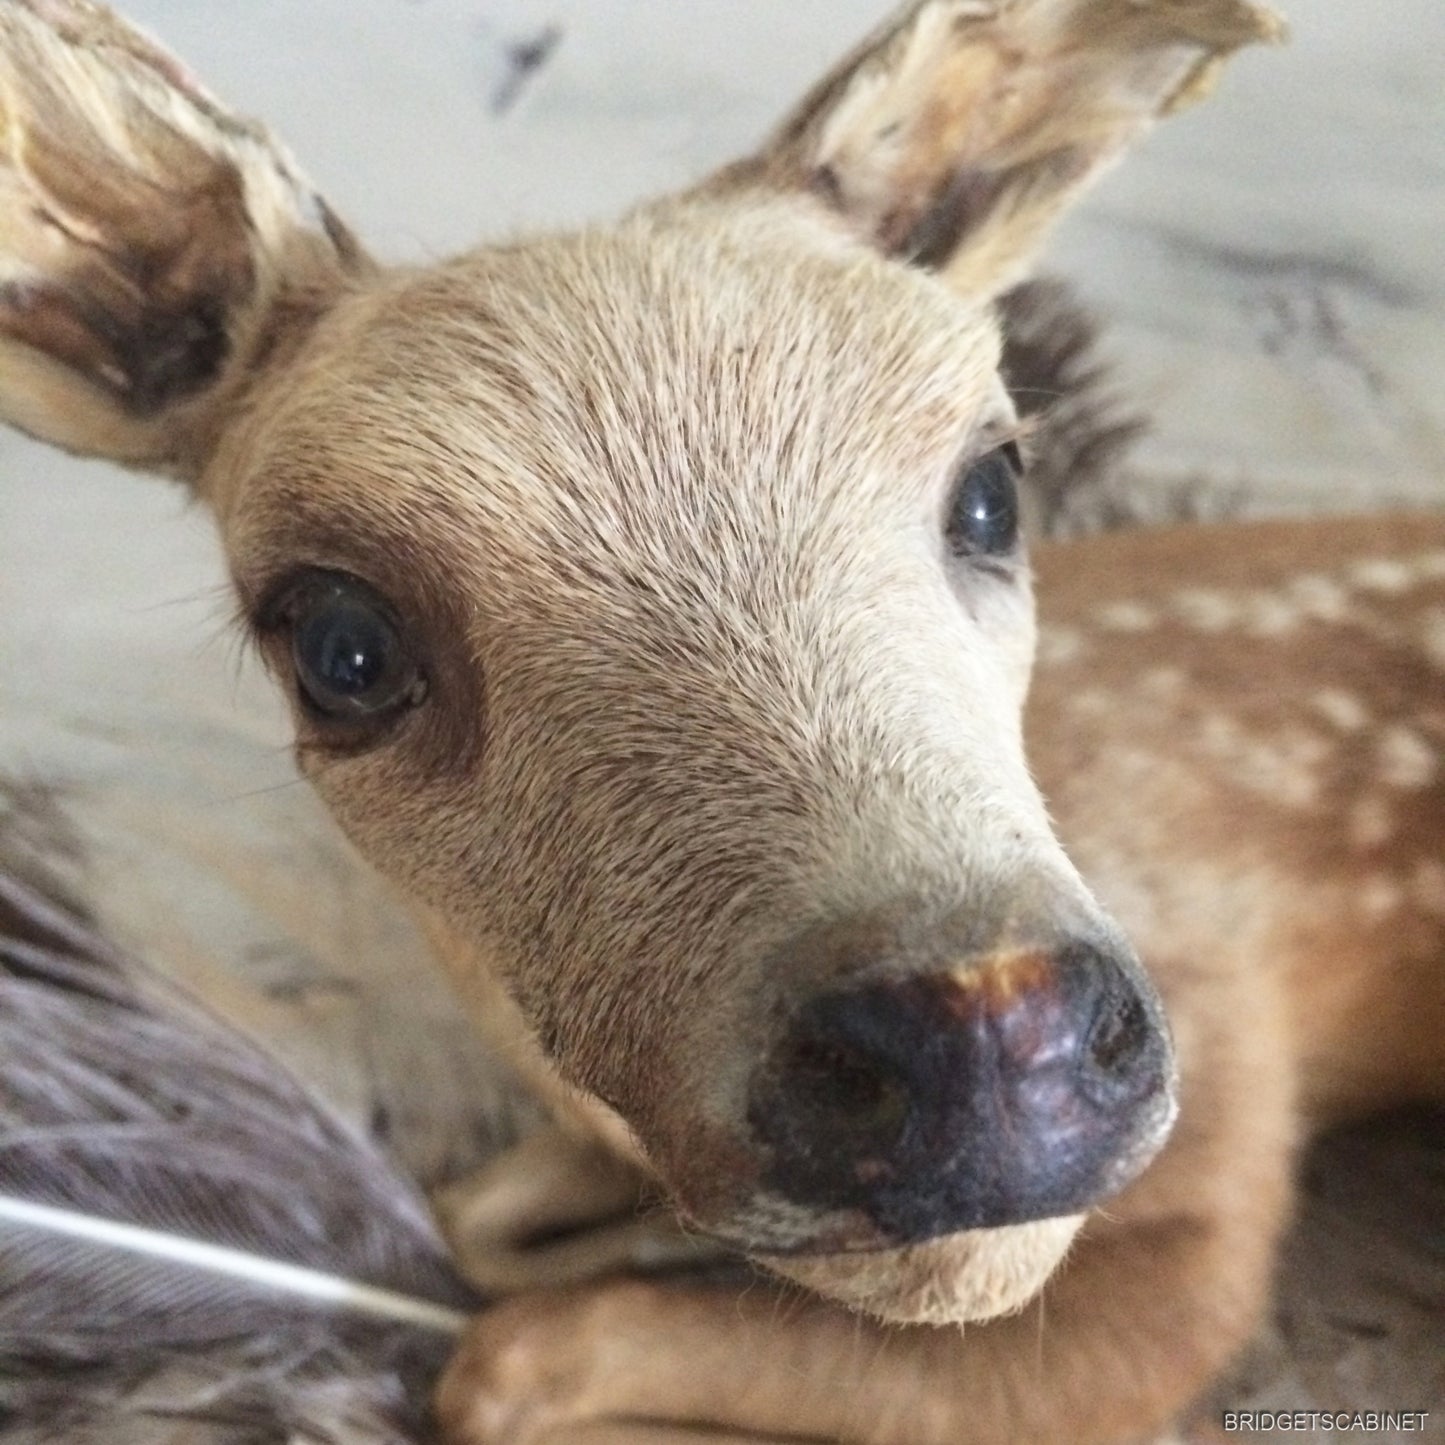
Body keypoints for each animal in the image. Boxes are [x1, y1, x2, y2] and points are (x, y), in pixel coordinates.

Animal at [1, 0, 1441, 1441]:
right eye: (341, 645)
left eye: (991, 486)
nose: (987, 1036)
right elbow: (477, 1229)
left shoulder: (1207, 1132)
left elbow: (508, 1358)